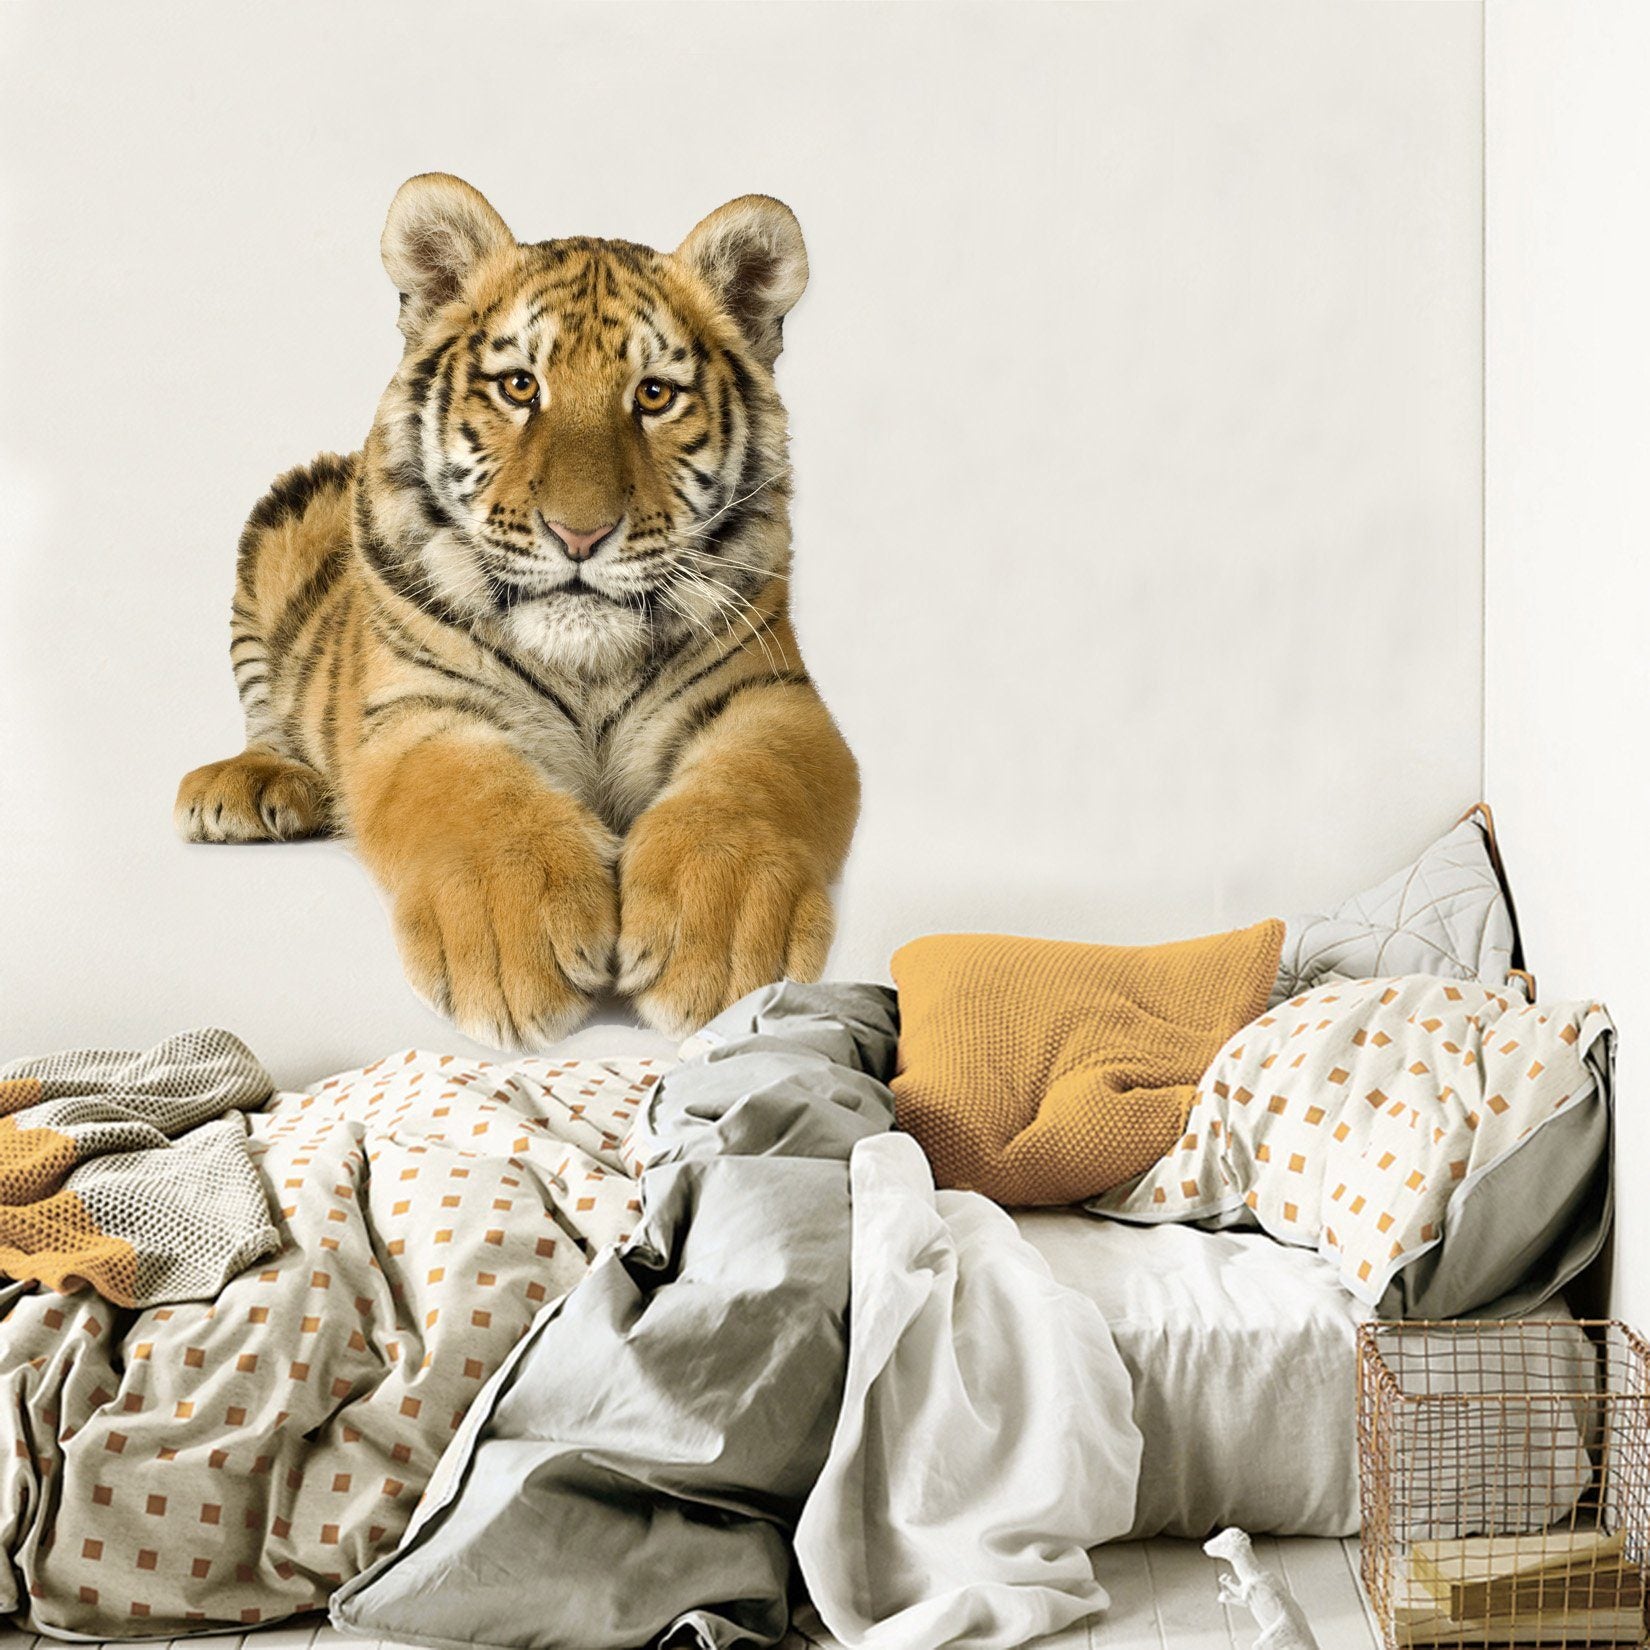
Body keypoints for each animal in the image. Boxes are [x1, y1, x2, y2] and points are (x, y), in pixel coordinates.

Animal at [175, 173, 859, 1046]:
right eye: (520, 386)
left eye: (654, 395)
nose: (580, 534)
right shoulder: (418, 710)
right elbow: (475, 797)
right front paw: (514, 937)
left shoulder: (771, 696)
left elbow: (745, 789)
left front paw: (725, 943)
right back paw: (251, 789)